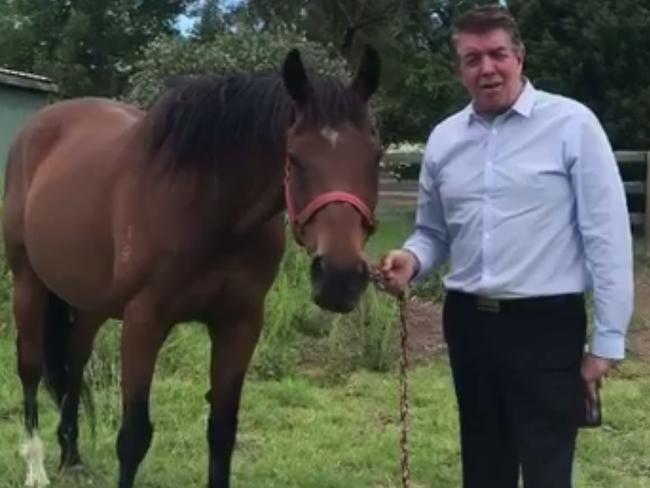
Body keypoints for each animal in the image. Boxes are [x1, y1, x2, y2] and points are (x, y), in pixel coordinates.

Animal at [3, 46, 380, 488]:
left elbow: (222, 430)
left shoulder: (240, 323)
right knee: (30, 367)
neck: (212, 209)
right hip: (28, 282)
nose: (340, 279)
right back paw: (36, 467)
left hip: (90, 300)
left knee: (75, 363)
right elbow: (133, 436)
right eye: (294, 157)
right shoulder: (144, 321)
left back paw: (72, 456)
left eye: (376, 155)